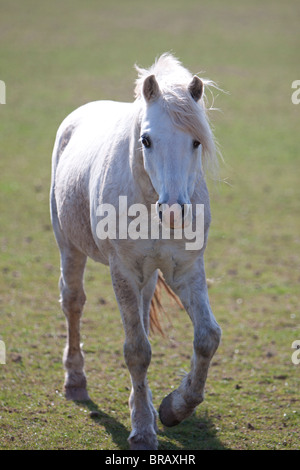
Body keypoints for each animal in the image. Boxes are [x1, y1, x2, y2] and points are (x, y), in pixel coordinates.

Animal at [50, 53, 221, 450]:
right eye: (146, 140)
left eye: (196, 142)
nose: (173, 211)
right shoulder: (123, 270)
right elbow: (137, 351)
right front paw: (143, 429)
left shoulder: (185, 270)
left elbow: (207, 338)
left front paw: (174, 408)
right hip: (69, 245)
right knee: (73, 302)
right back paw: (75, 381)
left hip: (149, 275)